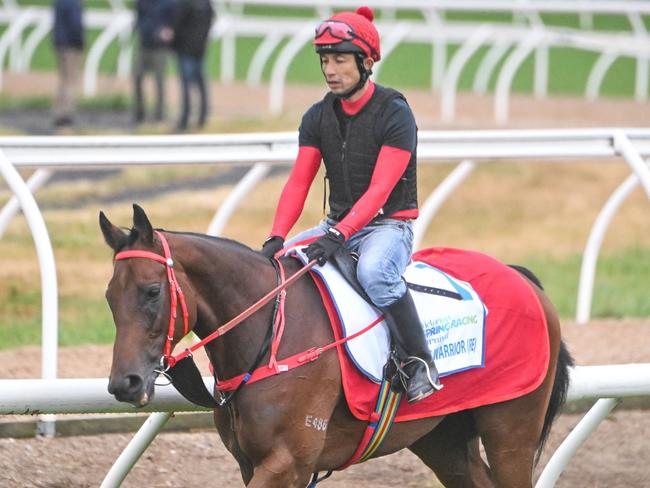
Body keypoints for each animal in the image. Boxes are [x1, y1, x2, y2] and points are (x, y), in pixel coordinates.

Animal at [98, 204, 568, 486]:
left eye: (152, 291)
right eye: (108, 296)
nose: (125, 382)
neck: (271, 336)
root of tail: (523, 279)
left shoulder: (288, 461)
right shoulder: (252, 462)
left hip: (511, 429)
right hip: (442, 436)